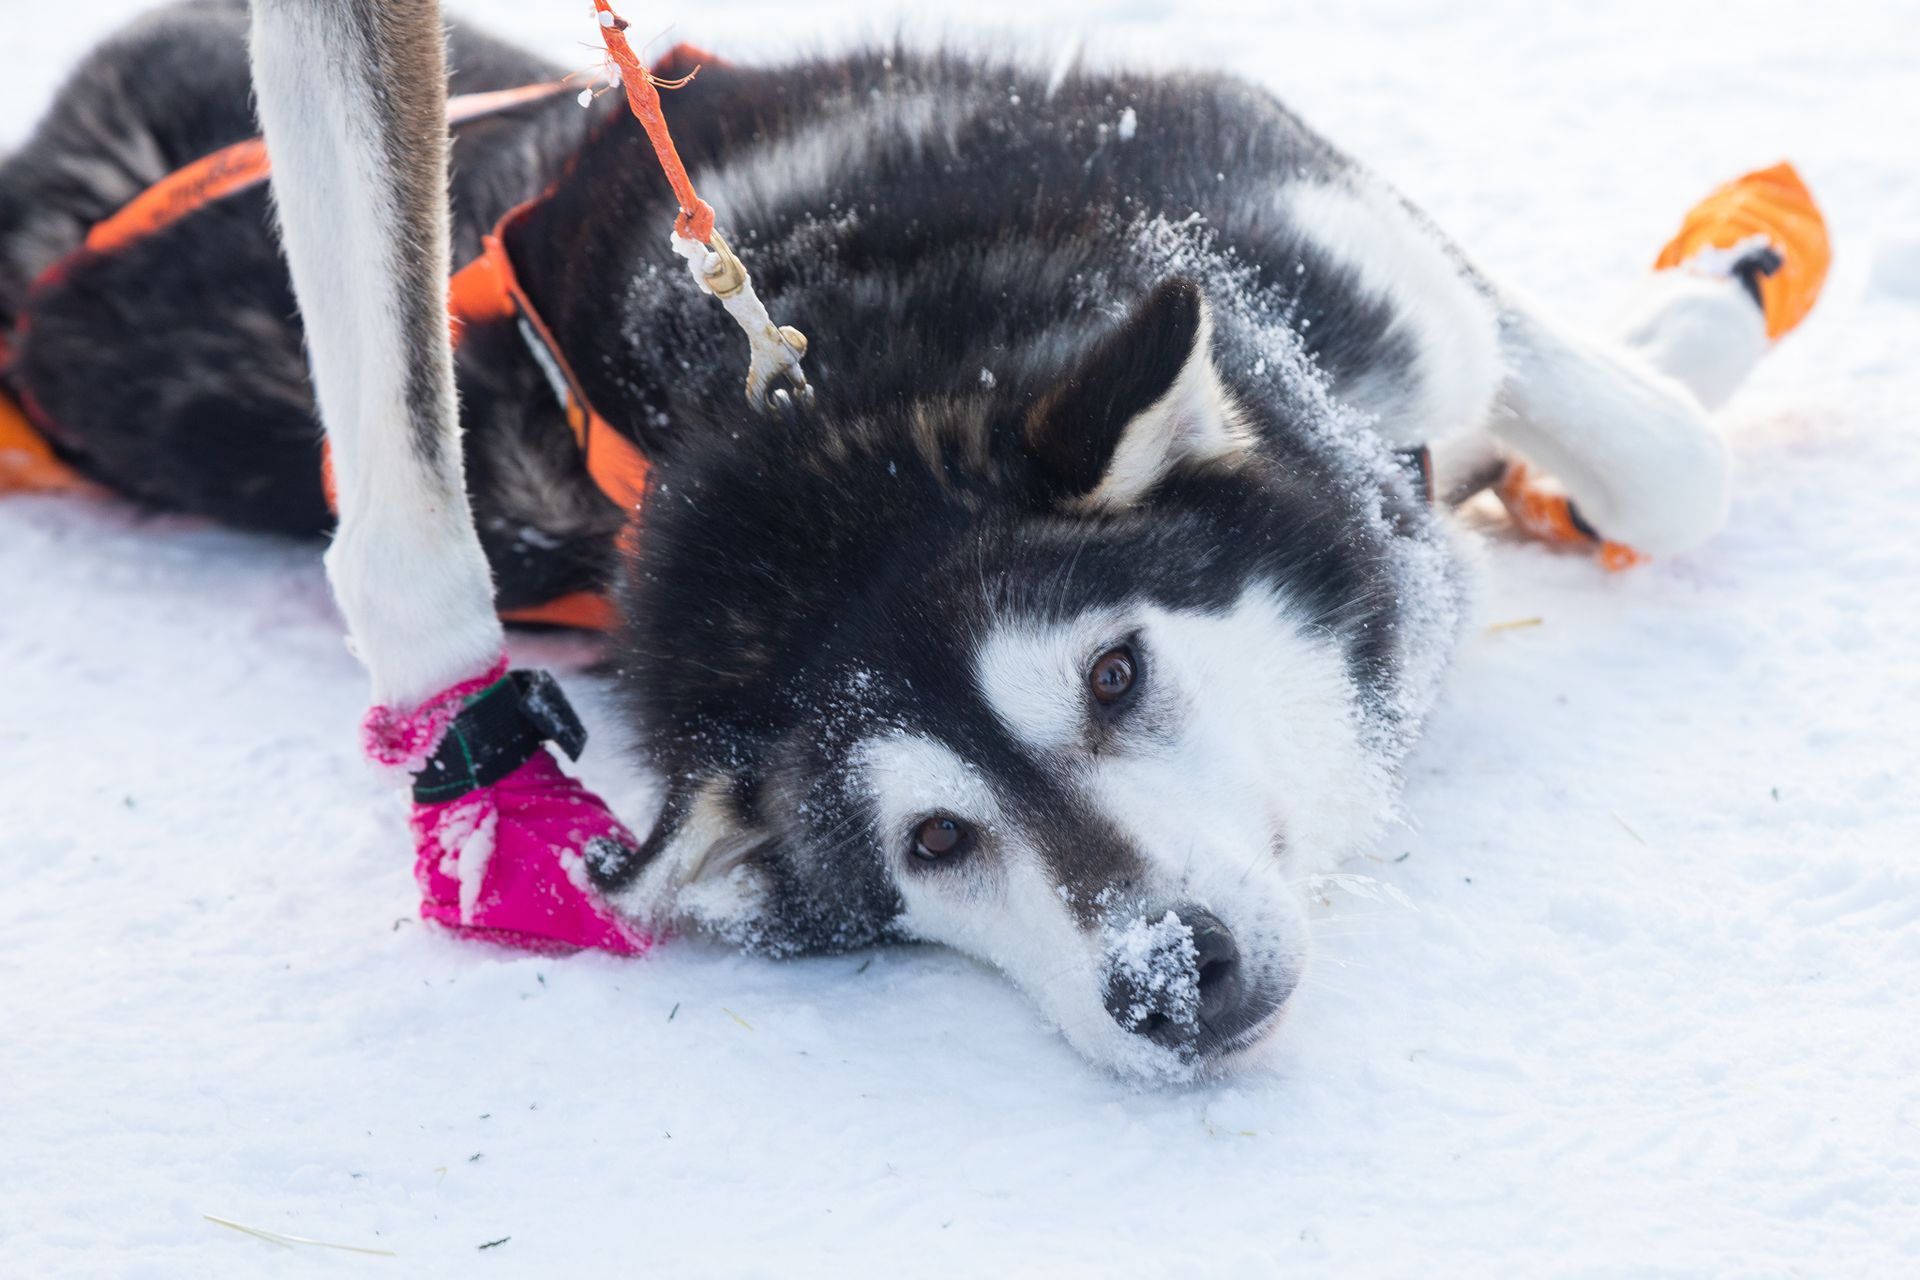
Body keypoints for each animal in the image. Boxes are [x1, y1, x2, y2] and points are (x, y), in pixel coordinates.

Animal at [0, 2, 1797, 1082]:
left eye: (1118, 675)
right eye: (935, 843)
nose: (1171, 978)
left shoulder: (1312, 223)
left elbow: (1668, 463)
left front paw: (1671, 357)